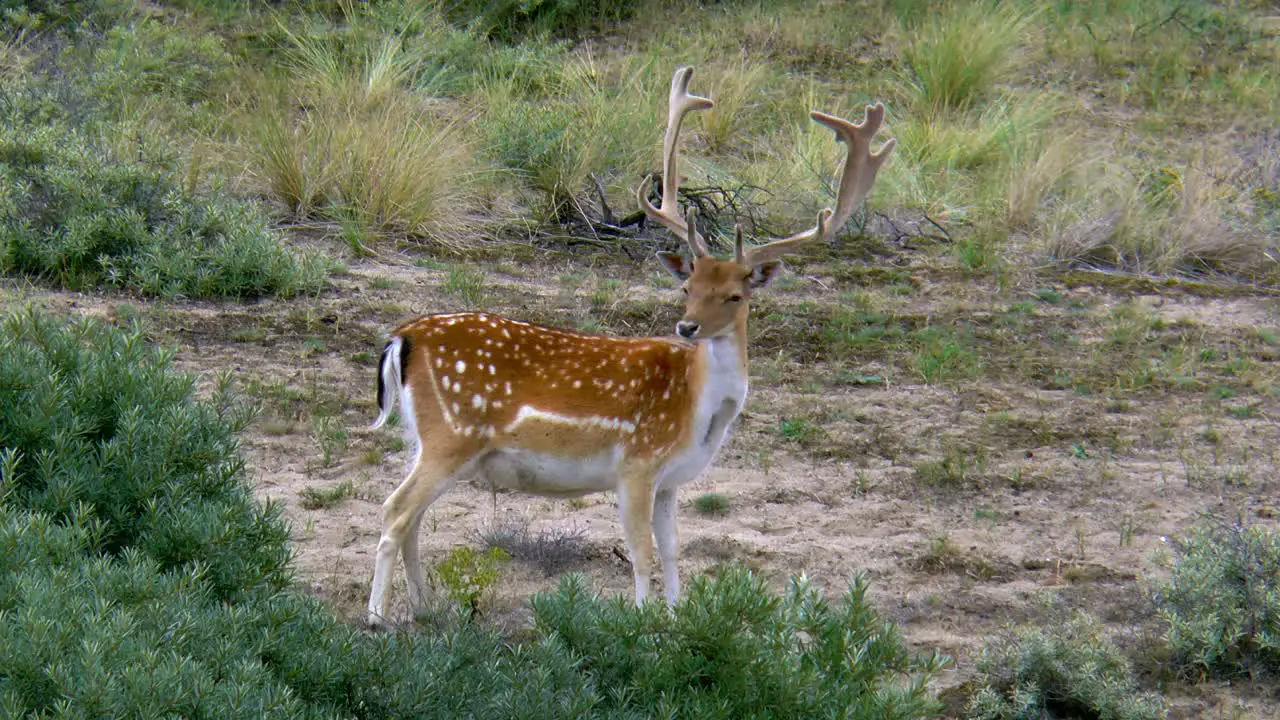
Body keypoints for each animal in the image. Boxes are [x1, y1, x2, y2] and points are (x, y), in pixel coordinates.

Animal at [366, 68, 896, 627]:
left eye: (734, 294)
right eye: (687, 287)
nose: (687, 327)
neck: (696, 411)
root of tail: (403, 337)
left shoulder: (671, 480)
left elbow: (672, 550)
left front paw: (678, 618)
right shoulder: (637, 464)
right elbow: (641, 553)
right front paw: (641, 626)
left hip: (428, 439)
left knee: (412, 516)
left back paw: (423, 607)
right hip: (452, 434)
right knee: (395, 509)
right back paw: (377, 617)